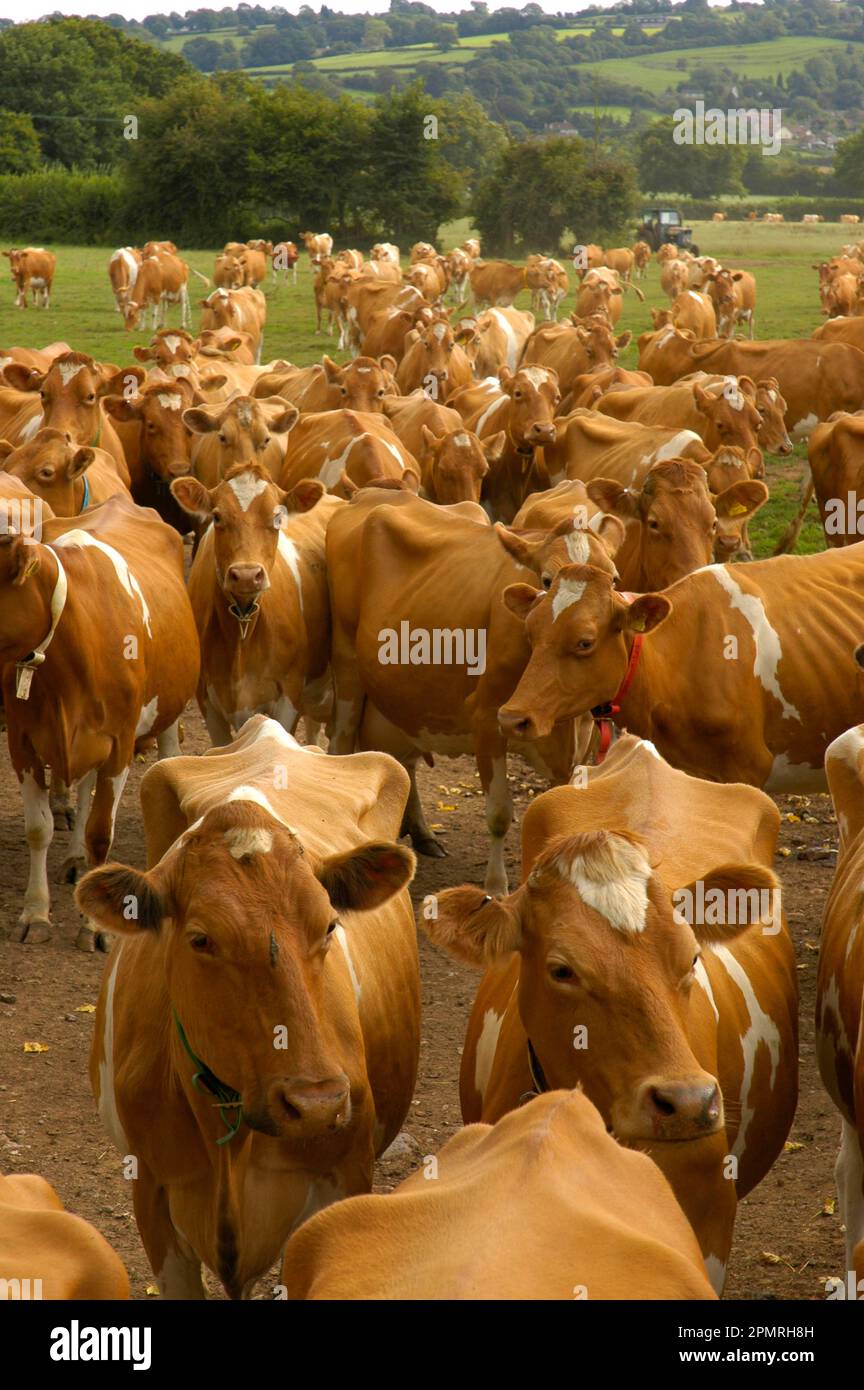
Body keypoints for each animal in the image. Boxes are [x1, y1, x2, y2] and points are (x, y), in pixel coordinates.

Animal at [1, 493, 199, 948]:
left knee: (168, 754)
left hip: (167, 710)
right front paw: (35, 914)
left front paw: (94, 927)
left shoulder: (120, 744)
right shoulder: (23, 743)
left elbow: (100, 832)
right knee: (84, 788)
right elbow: (39, 828)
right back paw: (75, 860)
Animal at [326, 488, 619, 890]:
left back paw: (422, 832)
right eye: (546, 580)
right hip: (347, 666)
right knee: (340, 747)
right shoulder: (488, 718)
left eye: (614, 580)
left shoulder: (578, 739)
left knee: (403, 762)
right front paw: (496, 887)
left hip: (406, 695)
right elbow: (498, 812)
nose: (584, 632)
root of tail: (371, 494)